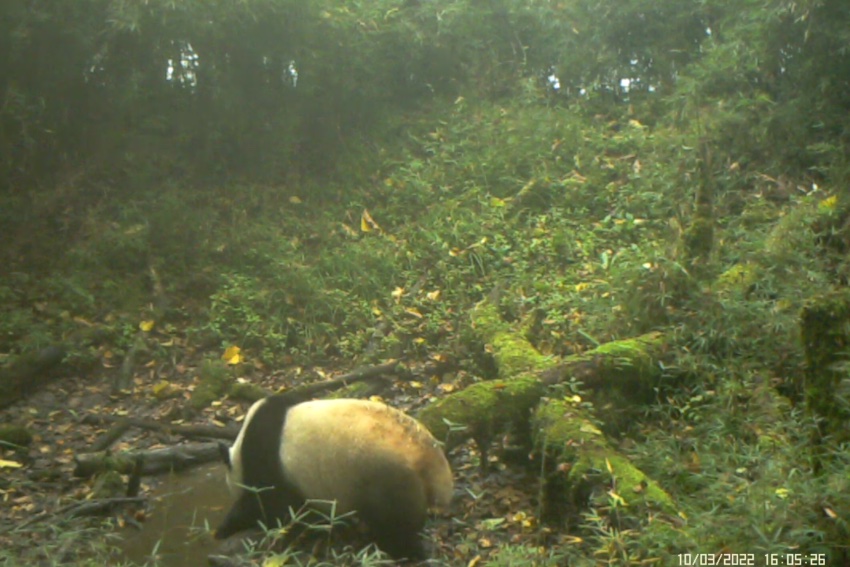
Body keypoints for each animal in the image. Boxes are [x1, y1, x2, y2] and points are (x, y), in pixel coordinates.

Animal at [215, 398, 454, 560]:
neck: (240, 453)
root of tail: (429, 460)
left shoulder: (268, 466)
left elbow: (269, 508)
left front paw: (224, 528)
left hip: (388, 478)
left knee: (396, 525)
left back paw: (404, 553)